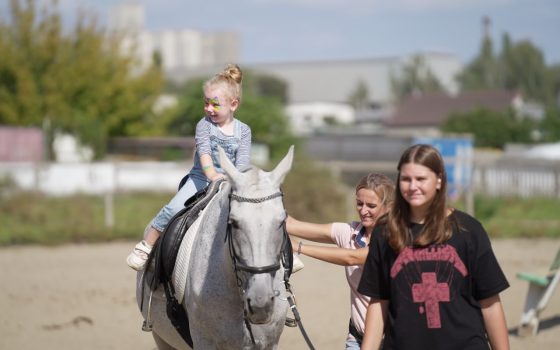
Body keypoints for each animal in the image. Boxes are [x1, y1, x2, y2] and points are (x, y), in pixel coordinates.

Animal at [137, 146, 294, 350]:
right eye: (233, 223)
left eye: (282, 221)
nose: (261, 305)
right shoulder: (204, 342)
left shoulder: (269, 343)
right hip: (162, 338)